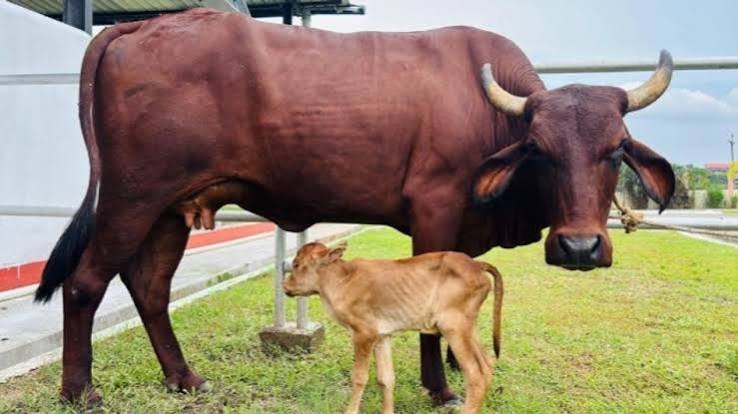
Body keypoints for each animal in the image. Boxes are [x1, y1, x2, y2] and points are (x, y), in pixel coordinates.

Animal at [283, 242, 504, 414]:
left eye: (296, 264)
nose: (285, 286)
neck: (341, 280)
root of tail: (476, 264)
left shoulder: (363, 334)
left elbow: (359, 377)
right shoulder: (382, 336)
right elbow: (386, 379)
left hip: (453, 327)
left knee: (475, 373)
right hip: (468, 328)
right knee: (487, 364)